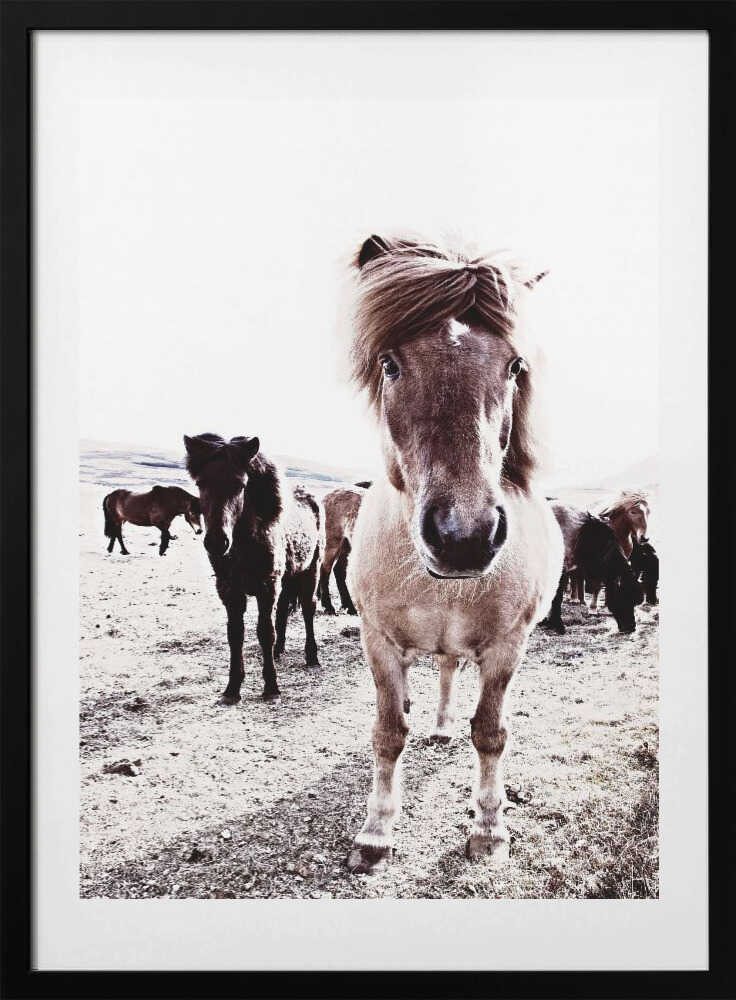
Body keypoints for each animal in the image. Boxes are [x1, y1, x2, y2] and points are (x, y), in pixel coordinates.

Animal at [184, 433, 324, 703]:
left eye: (240, 485)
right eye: (201, 483)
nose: (216, 542)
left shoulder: (266, 586)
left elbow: (264, 632)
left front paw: (271, 686)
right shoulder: (230, 591)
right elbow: (235, 634)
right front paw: (232, 688)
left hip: (310, 571)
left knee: (308, 609)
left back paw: (311, 656)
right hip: (286, 579)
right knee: (283, 610)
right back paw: (279, 650)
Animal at [317, 486, 366, 615]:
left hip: (346, 545)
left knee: (338, 570)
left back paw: (349, 607)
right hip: (332, 542)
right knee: (325, 570)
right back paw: (328, 607)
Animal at [343, 234, 563, 874]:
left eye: (514, 366)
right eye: (390, 364)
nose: (463, 535)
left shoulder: (507, 646)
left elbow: (490, 733)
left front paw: (490, 828)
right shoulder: (378, 640)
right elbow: (388, 732)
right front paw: (376, 833)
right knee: (441, 673)